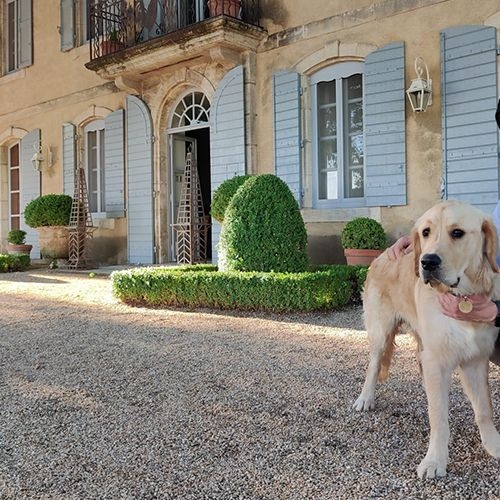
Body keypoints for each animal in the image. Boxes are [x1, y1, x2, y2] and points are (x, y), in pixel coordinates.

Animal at [352, 201, 500, 478]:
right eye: (426, 232)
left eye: (457, 233)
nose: (428, 262)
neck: (461, 297)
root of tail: (379, 256)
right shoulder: (437, 361)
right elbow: (438, 415)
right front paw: (435, 460)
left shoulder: (475, 359)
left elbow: (484, 408)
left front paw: (492, 444)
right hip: (380, 332)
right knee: (373, 365)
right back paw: (365, 398)